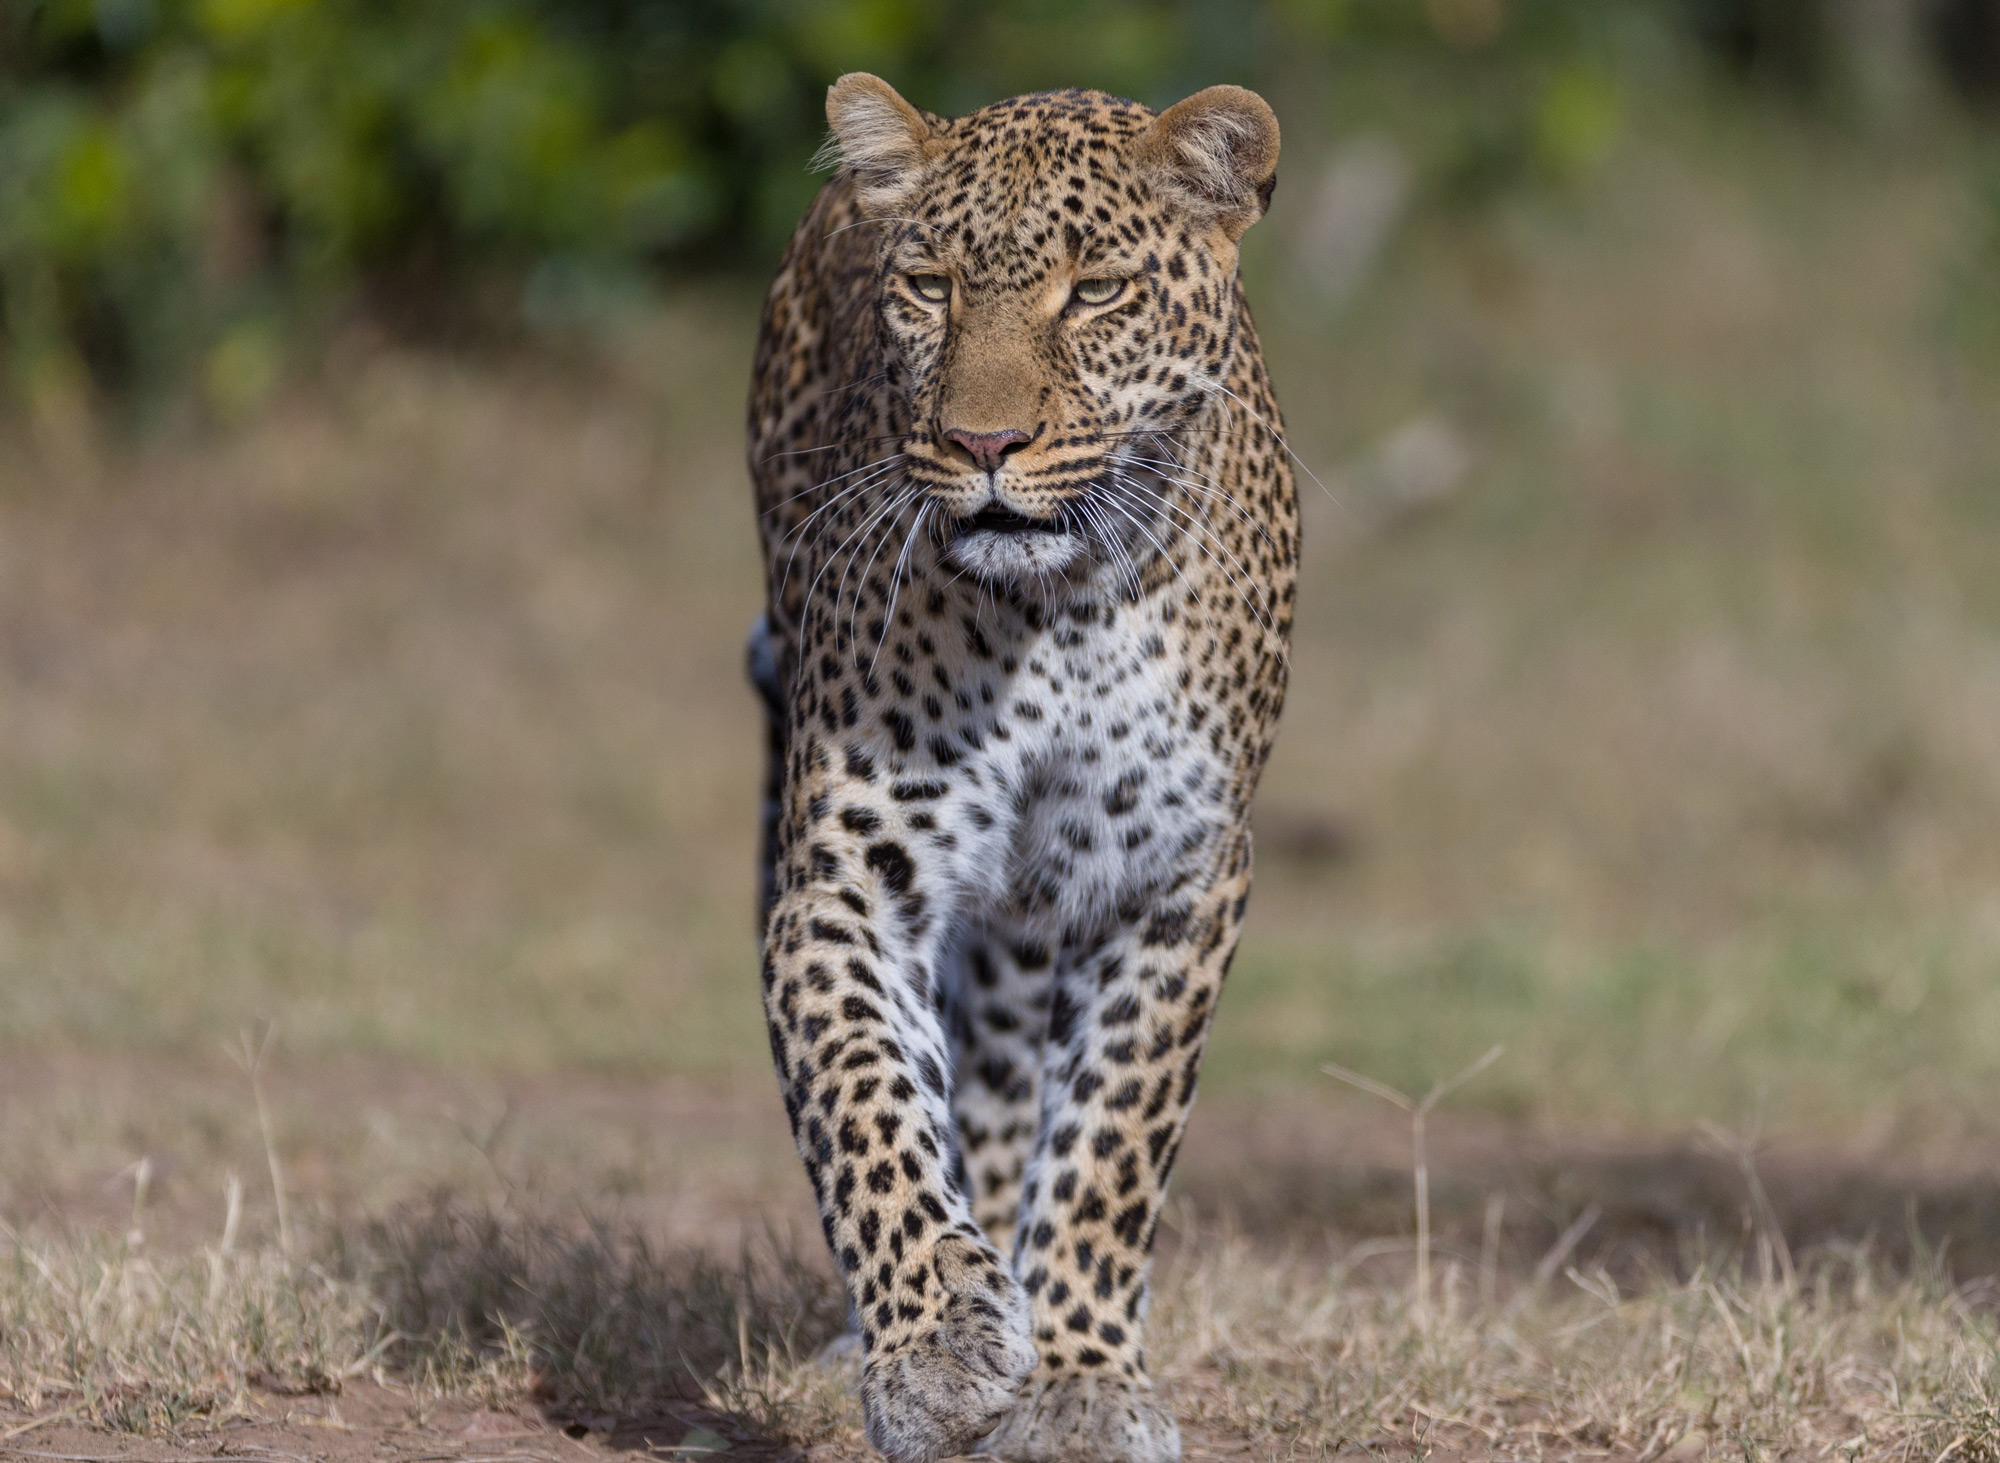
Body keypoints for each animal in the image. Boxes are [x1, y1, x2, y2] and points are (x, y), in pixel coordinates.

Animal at [748, 71, 1296, 1463]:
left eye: (1092, 291)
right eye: (928, 286)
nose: (981, 441)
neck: (1059, 609)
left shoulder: (1174, 879)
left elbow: (1112, 1138)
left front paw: (1085, 1380)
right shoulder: (849, 877)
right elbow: (868, 1103)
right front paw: (934, 1347)